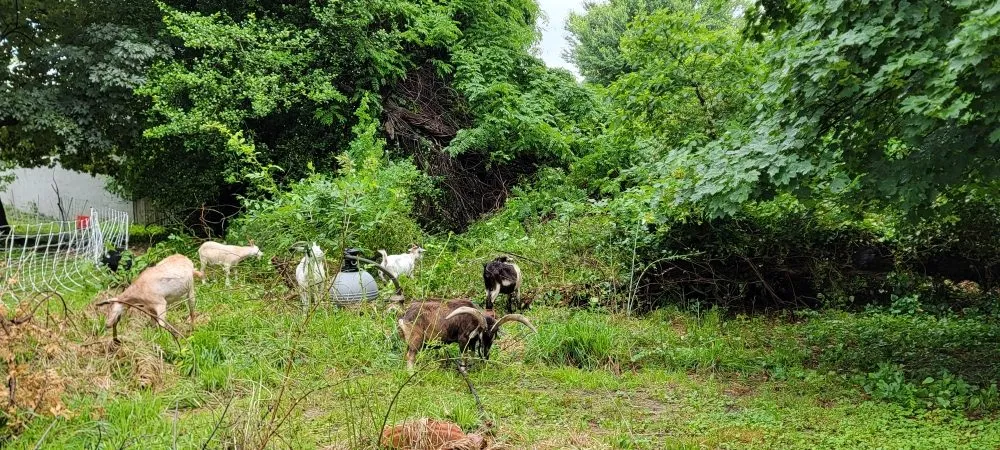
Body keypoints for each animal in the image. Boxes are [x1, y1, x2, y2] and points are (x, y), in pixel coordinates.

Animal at [396, 299, 536, 371]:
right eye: (482, 334)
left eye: (493, 336)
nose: (486, 355)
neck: (472, 320)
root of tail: (404, 316)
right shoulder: (463, 340)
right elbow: (464, 356)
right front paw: (464, 370)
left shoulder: (472, 342)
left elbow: (471, 354)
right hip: (416, 339)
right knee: (410, 356)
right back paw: (411, 373)